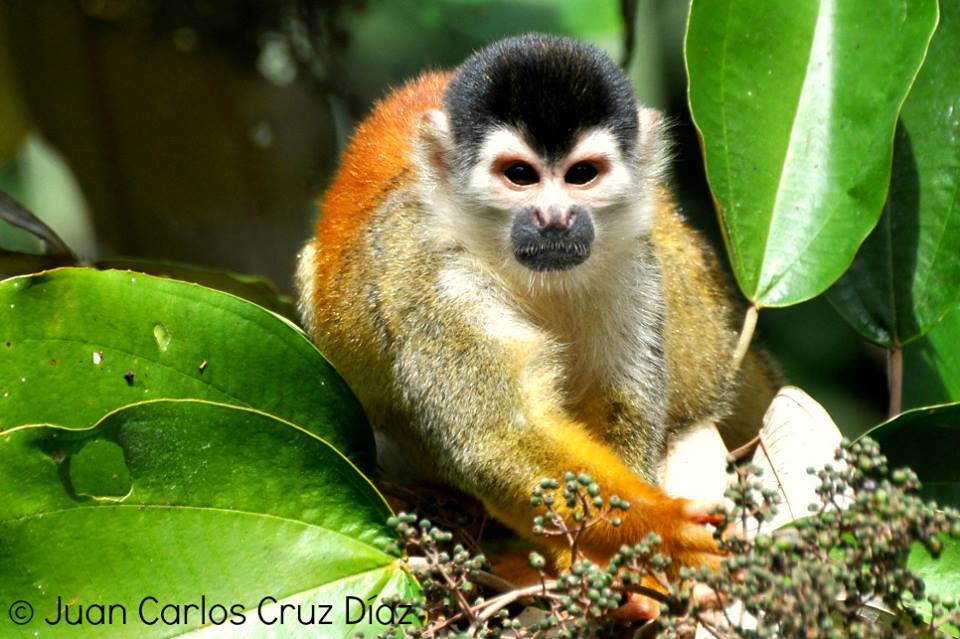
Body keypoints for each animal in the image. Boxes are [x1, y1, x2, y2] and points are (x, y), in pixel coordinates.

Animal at [297, 34, 778, 577]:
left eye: (583, 175)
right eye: (520, 175)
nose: (555, 218)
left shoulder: (632, 260)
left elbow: (619, 403)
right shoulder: (434, 274)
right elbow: (499, 434)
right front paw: (662, 531)